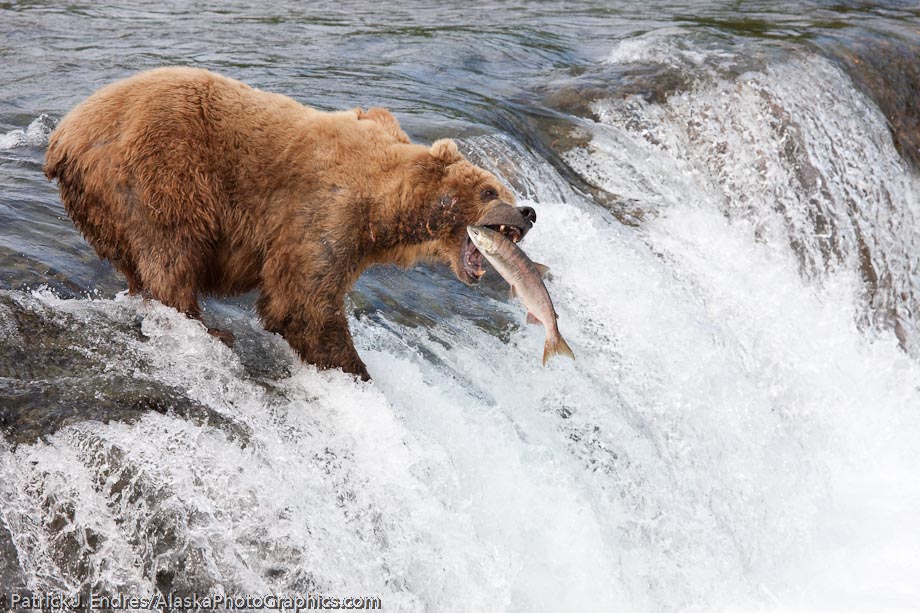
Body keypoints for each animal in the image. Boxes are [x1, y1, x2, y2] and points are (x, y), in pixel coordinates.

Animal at [45, 69, 532, 380]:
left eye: (504, 189)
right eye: (490, 191)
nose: (527, 213)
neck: (384, 208)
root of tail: (64, 136)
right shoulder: (323, 211)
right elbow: (303, 300)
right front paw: (354, 368)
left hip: (102, 205)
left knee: (137, 260)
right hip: (159, 170)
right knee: (170, 248)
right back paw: (206, 326)